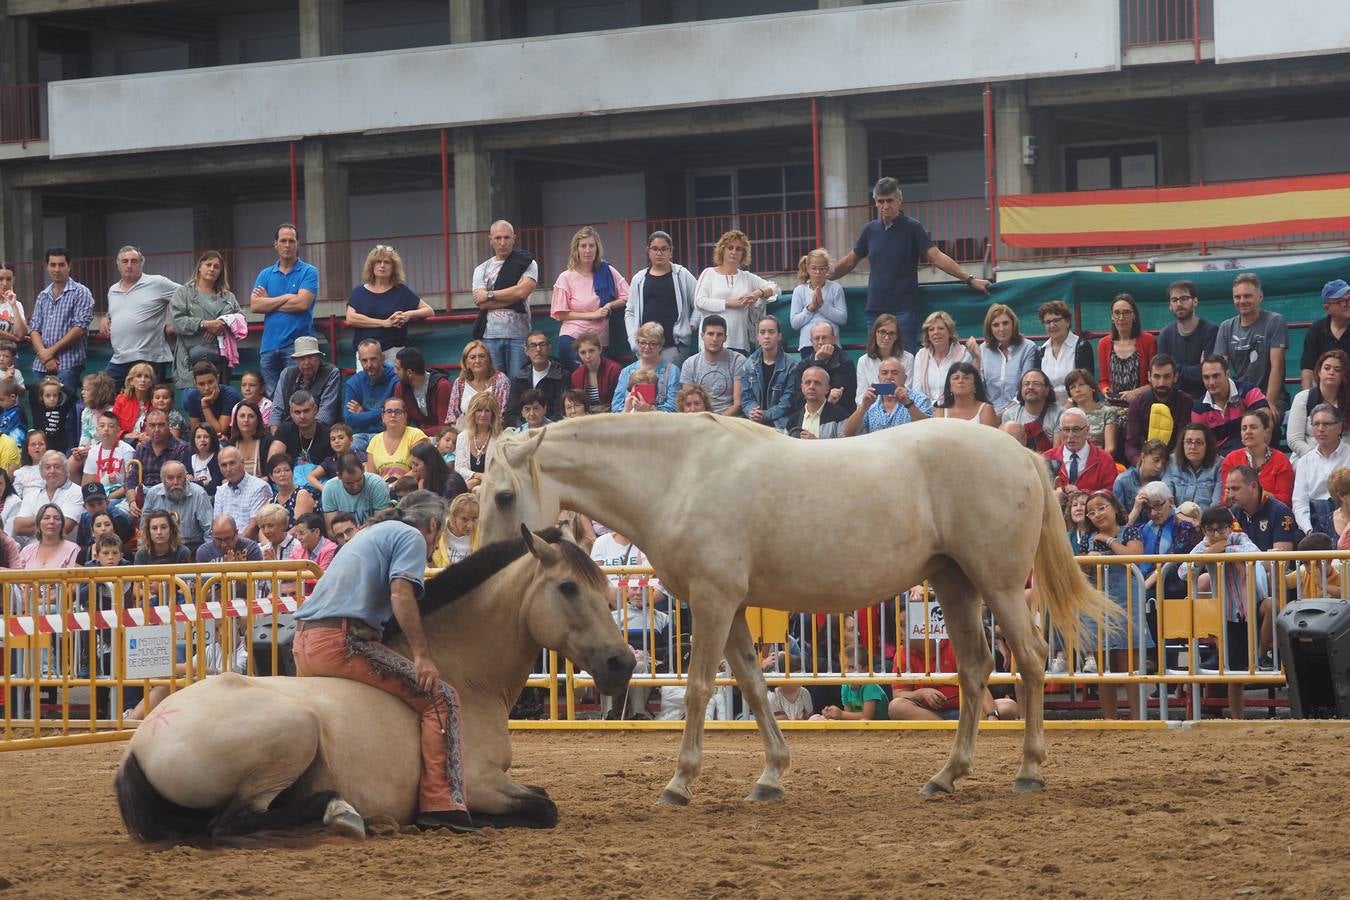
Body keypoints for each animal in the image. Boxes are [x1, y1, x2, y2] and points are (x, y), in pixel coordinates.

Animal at [113, 523, 634, 841]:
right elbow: (543, 807)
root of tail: (141, 744)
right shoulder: (481, 782)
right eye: (568, 587)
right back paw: (341, 812)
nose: (622, 662)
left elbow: (541, 798)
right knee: (233, 822)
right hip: (294, 734)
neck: (466, 677)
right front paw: (453, 819)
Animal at [480, 415, 1112, 804]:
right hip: (954, 584)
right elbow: (755, 688)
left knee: (1027, 661)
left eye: (505, 495)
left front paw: (679, 783)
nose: (485, 572)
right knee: (977, 669)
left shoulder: (712, 602)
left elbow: (700, 688)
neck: (680, 475)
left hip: (998, 586)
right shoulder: (732, 608)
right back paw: (946, 776)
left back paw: (1028, 771)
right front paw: (770, 776)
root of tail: (1021, 453)